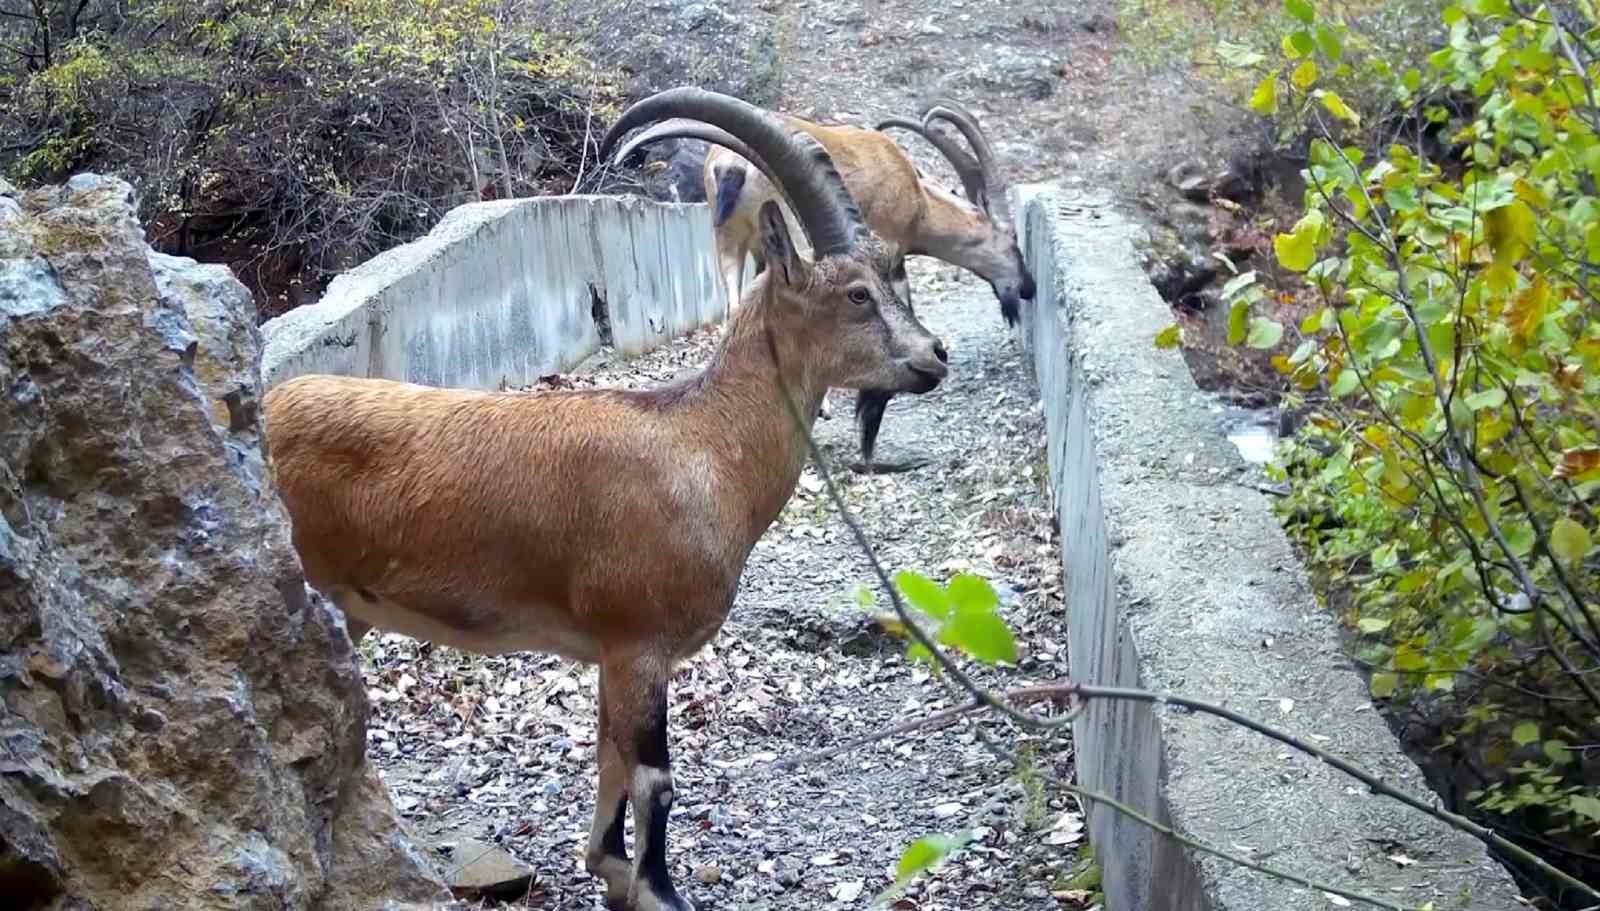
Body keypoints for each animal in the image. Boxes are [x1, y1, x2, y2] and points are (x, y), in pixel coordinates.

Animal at [265, 86, 947, 909]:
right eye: (856, 294)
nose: (934, 356)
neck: (703, 444)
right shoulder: (637, 642)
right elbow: (653, 777)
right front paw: (659, 887)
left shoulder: (609, 655)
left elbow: (610, 760)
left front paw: (611, 863)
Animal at [604, 96, 1030, 473]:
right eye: (1013, 242)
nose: (1028, 288)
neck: (917, 197)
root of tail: (730, 165)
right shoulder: (889, 247)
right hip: (786, 226)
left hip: (727, 236)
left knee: (731, 301)